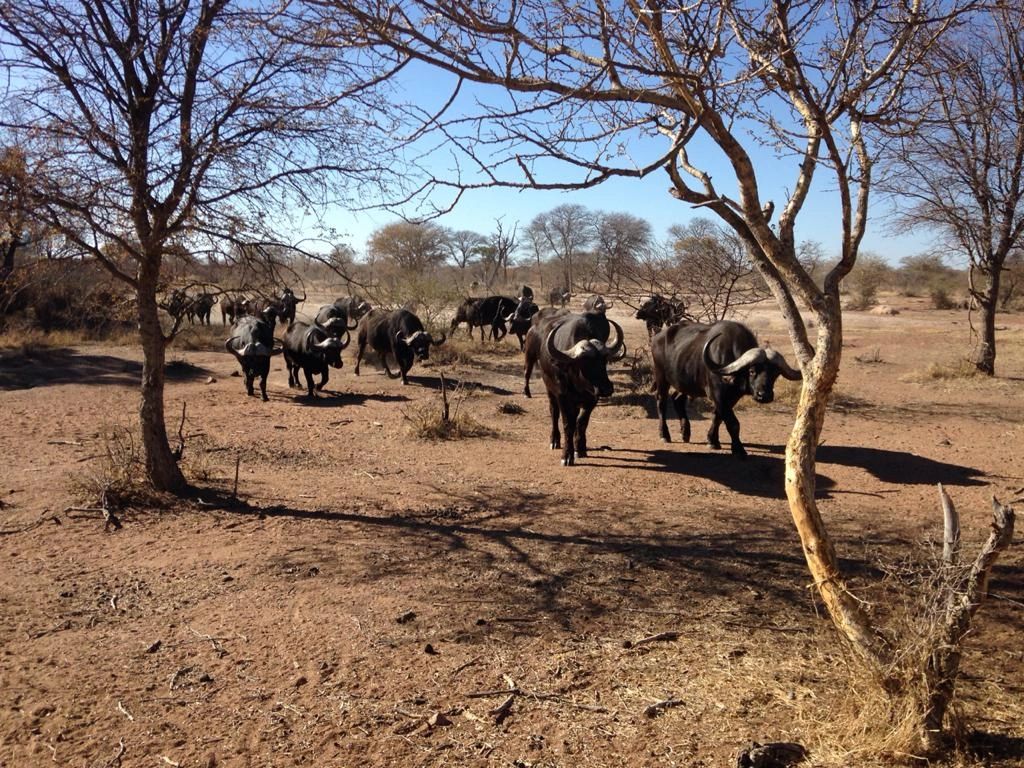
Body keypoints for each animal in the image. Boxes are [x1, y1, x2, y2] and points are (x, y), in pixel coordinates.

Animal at [528, 311, 625, 466]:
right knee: (554, 413)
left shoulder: (592, 399)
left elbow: (581, 422)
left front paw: (580, 448)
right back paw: (554, 440)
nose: (606, 388)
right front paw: (567, 455)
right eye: (584, 363)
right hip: (550, 391)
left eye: (604, 361)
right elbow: (568, 424)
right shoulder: (563, 397)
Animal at [651, 320, 801, 457]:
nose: (764, 395)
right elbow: (733, 423)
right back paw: (664, 435)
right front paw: (738, 449)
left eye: (775, 373)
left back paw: (685, 433)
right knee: (661, 402)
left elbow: (717, 417)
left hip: (685, 384)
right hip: (661, 378)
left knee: (677, 399)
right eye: (752, 371)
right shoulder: (718, 395)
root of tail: (658, 337)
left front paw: (713, 441)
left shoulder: (731, 398)